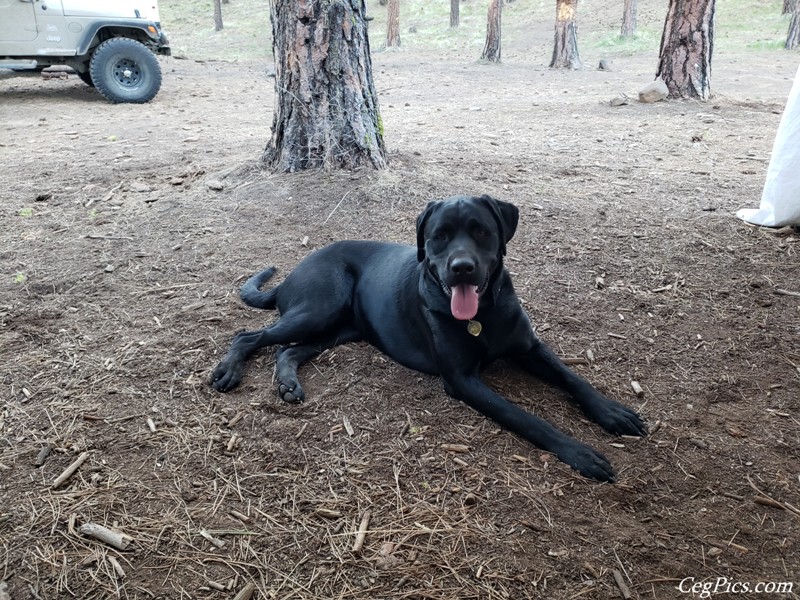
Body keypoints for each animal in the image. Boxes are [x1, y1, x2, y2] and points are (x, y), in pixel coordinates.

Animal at [211, 197, 644, 482]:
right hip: (319, 307)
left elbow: (573, 378)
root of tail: (294, 272)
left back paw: (287, 383)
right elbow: (527, 418)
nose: (462, 267)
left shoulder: (531, 348)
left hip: (336, 329)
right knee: (248, 335)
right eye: (439, 236)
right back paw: (228, 371)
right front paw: (579, 452)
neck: (483, 314)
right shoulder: (463, 381)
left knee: (287, 351)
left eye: (481, 231)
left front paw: (611, 412)